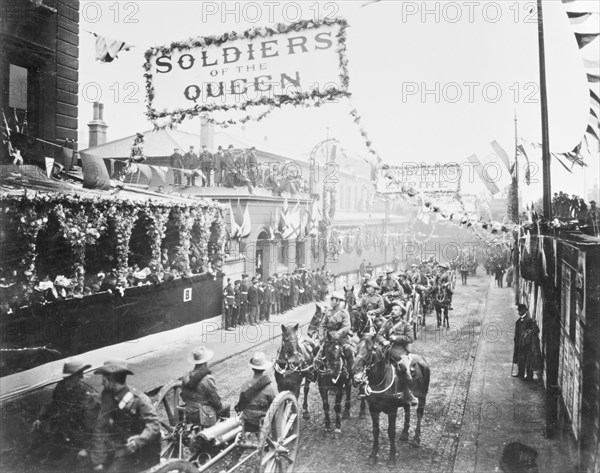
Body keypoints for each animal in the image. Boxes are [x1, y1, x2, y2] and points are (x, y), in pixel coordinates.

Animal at [352, 334, 432, 466]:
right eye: (356, 349)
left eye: (370, 349)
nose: (355, 370)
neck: (381, 380)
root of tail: (422, 359)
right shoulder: (373, 409)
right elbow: (375, 431)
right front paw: (373, 455)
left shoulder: (392, 411)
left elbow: (391, 432)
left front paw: (391, 458)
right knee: (407, 410)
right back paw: (404, 433)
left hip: (422, 396)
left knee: (419, 414)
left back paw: (416, 439)